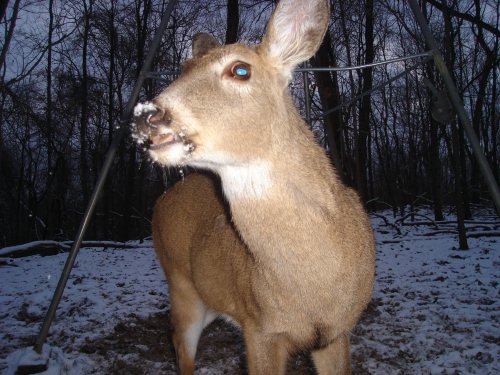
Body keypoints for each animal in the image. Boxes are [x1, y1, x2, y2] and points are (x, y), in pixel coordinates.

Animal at [132, 0, 376, 374]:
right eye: (183, 69)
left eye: (241, 70)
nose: (146, 116)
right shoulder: (259, 328)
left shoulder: (336, 333)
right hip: (180, 283)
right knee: (180, 347)